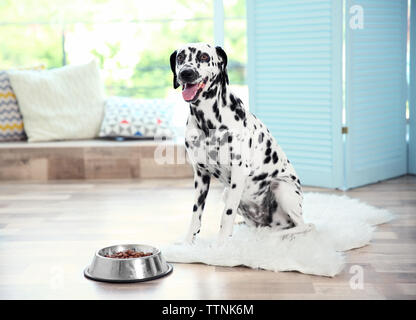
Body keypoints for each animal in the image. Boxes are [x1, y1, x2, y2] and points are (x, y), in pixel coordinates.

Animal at [169, 42, 312, 242]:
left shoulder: (238, 172)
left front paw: (220, 244)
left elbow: (226, 214)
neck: (207, 122)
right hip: (228, 194)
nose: (186, 73)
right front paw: (188, 241)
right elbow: (196, 213)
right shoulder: (200, 174)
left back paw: (273, 236)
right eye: (180, 57)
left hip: (281, 187)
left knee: (304, 226)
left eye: (204, 57)